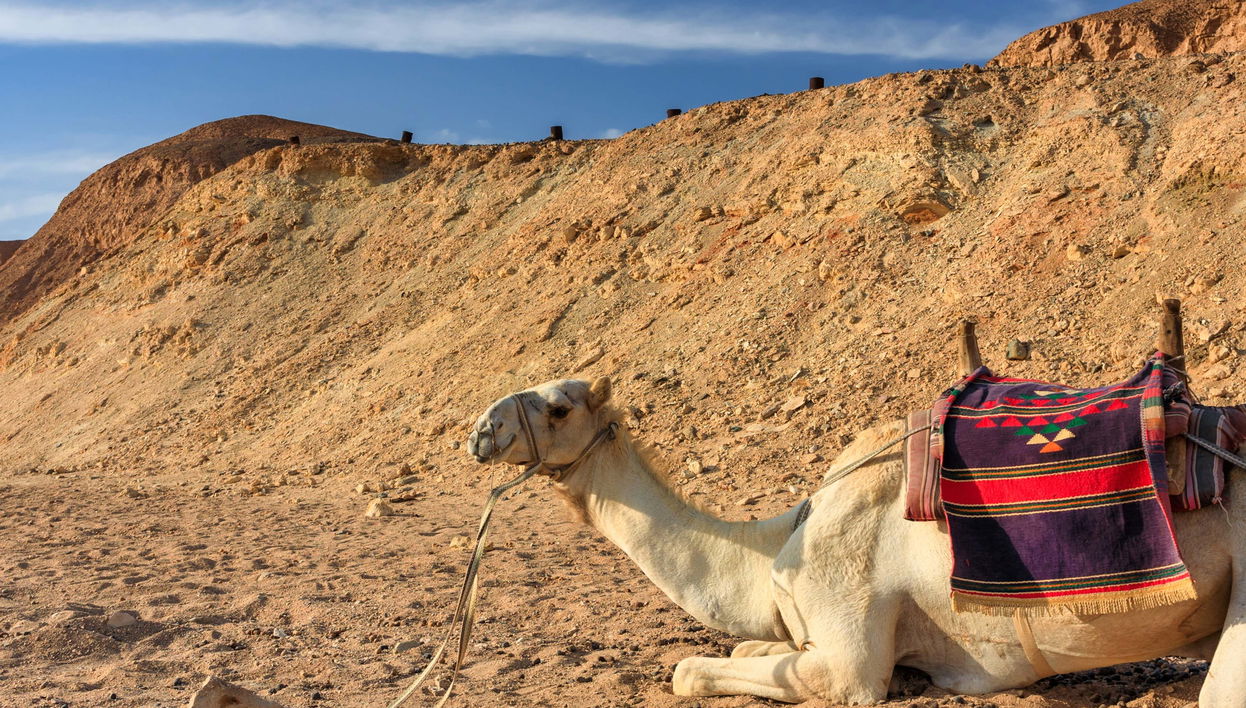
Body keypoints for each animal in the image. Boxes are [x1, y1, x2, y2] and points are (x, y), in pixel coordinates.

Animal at [467, 376, 1246, 705]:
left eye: (557, 406)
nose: (480, 429)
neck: (784, 537)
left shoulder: (848, 655)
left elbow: (692, 670)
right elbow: (746, 650)